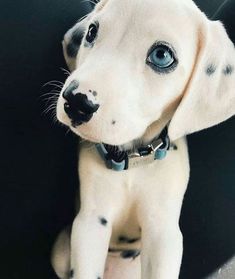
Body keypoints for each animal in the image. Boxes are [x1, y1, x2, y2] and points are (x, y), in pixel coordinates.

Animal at [52, 0, 235, 278]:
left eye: (161, 55)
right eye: (92, 32)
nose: (76, 102)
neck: (133, 160)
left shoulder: (163, 233)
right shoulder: (91, 222)